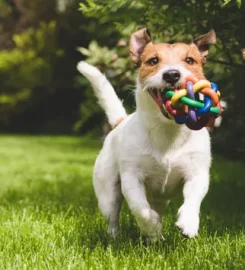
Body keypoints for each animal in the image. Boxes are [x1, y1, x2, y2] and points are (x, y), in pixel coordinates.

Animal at [77, 28, 216, 240]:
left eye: (189, 60)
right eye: (153, 60)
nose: (172, 74)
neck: (167, 130)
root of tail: (120, 122)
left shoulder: (197, 173)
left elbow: (193, 199)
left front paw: (189, 223)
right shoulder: (131, 178)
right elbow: (140, 209)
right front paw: (152, 227)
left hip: (160, 199)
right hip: (107, 192)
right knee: (113, 216)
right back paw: (119, 237)